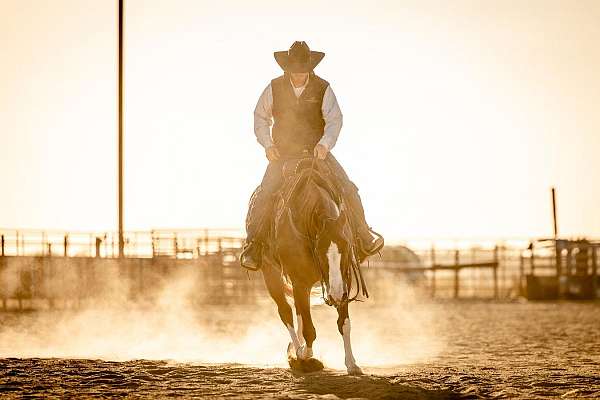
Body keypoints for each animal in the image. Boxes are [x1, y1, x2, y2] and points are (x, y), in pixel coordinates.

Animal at [255, 156, 368, 376]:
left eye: (347, 247)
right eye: (319, 250)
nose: (335, 295)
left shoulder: (344, 279)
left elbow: (344, 324)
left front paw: (352, 364)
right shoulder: (300, 282)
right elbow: (309, 331)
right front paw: (300, 355)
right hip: (271, 274)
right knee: (286, 312)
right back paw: (297, 351)